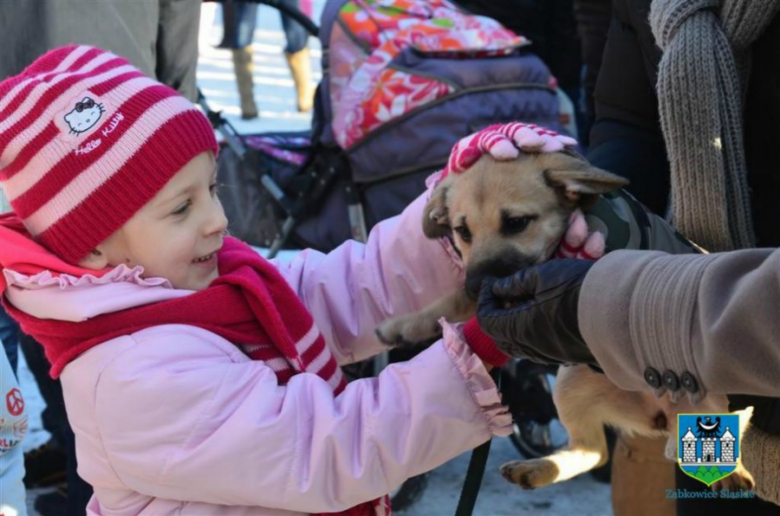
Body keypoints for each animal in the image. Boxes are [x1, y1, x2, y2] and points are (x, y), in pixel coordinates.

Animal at [378, 150, 756, 492]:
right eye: (462, 231)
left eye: (516, 223)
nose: (477, 285)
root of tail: (661, 416)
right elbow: (453, 299)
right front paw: (405, 325)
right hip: (570, 384)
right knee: (595, 453)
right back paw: (536, 470)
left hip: (718, 391)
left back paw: (731, 470)